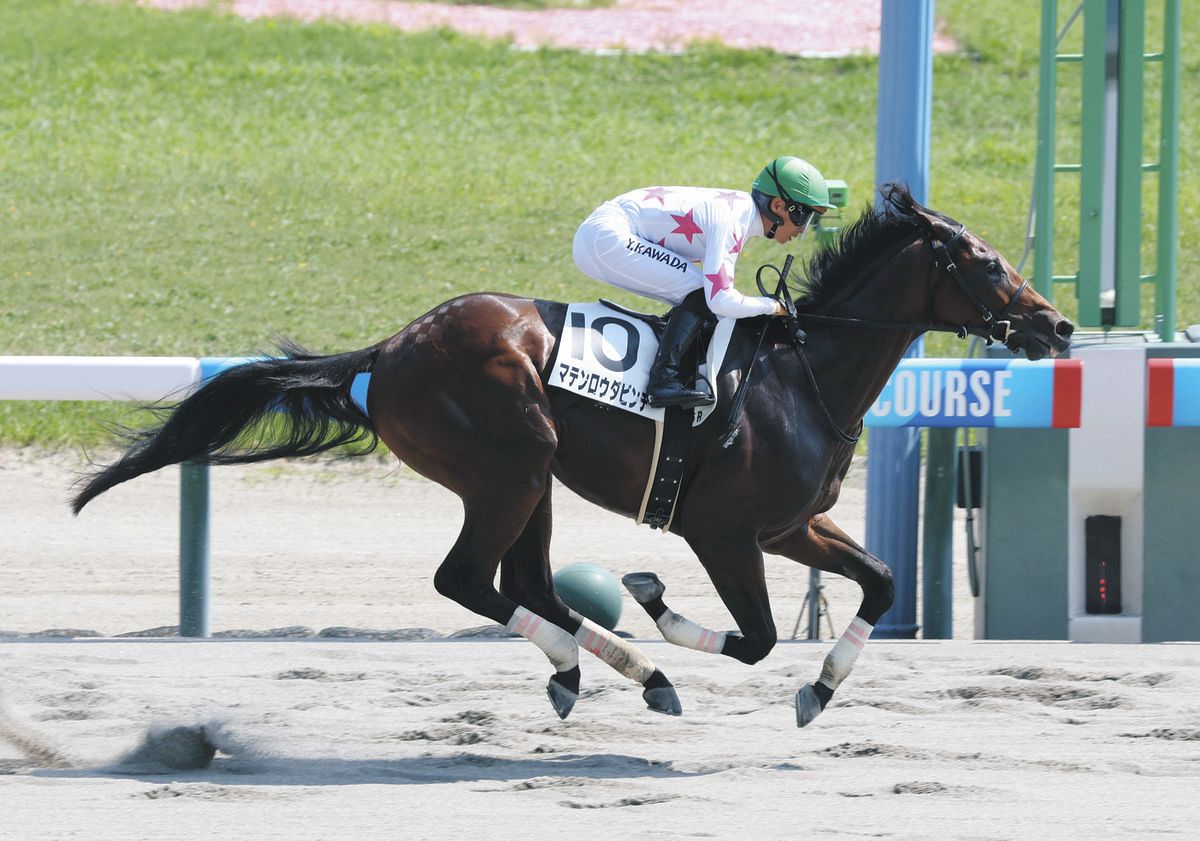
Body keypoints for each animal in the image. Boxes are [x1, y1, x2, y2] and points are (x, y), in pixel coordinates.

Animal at [72, 184, 1074, 727]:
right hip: (510, 465)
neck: (805, 371)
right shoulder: (723, 531)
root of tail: (389, 349)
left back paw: (608, 671)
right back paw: (630, 668)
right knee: (470, 581)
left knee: (529, 587)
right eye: (988, 264)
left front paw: (819, 690)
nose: (1058, 324)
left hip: (531, 479)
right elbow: (751, 636)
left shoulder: (792, 525)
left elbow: (882, 582)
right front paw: (658, 600)